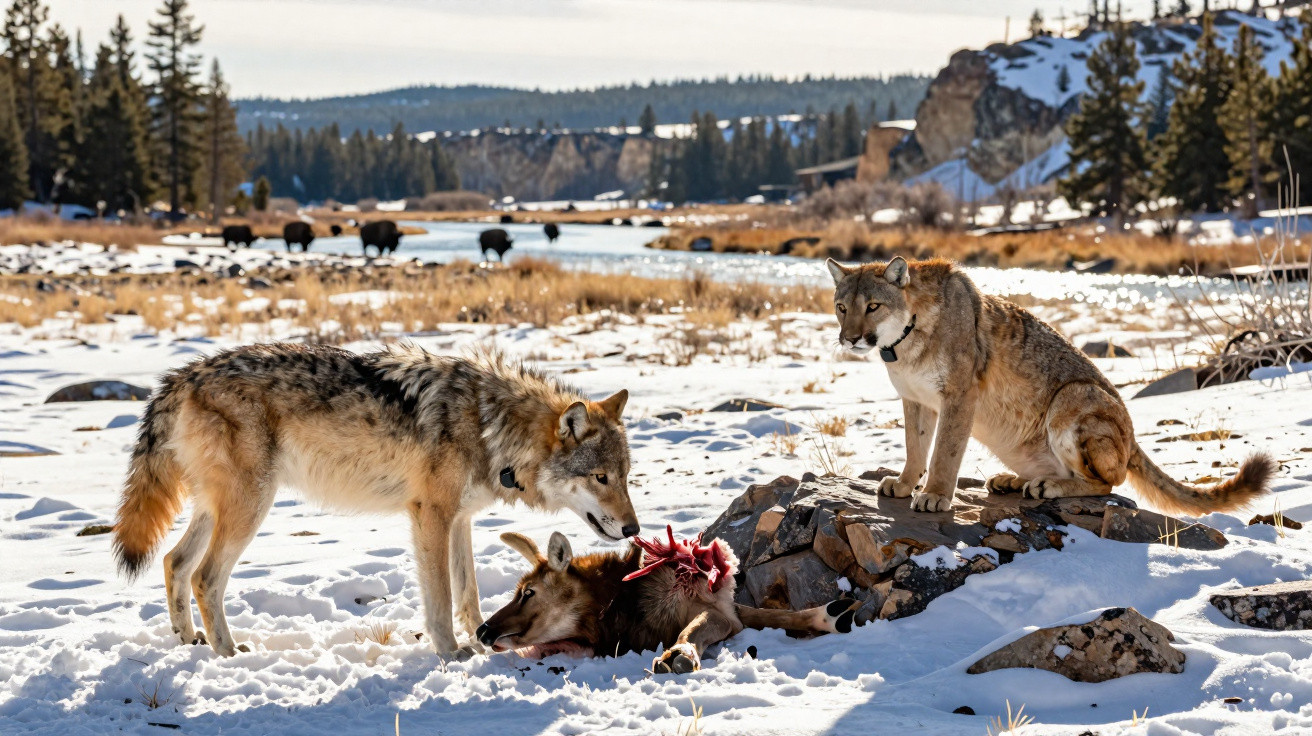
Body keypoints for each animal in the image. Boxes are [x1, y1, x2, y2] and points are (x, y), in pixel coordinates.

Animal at [112, 343, 639, 657]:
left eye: (625, 477)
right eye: (600, 478)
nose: (634, 530)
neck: (490, 425)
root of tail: (183, 375)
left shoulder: (460, 519)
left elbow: (467, 593)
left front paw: (483, 638)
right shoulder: (431, 515)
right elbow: (440, 598)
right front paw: (452, 653)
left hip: (215, 509)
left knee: (174, 562)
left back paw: (189, 641)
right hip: (250, 508)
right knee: (204, 576)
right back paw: (228, 654)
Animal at [477, 527, 854, 674]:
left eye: (528, 592)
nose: (482, 631)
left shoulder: (713, 606)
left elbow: (702, 627)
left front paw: (679, 654)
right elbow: (755, 615)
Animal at [826, 256, 1274, 515]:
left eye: (873, 306)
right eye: (842, 307)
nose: (850, 339)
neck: (904, 342)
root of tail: (1132, 440)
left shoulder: (958, 397)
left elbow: (944, 454)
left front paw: (935, 495)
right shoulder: (916, 400)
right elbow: (915, 448)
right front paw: (904, 484)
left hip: (1072, 398)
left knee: (1109, 482)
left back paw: (1048, 486)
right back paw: (1015, 480)